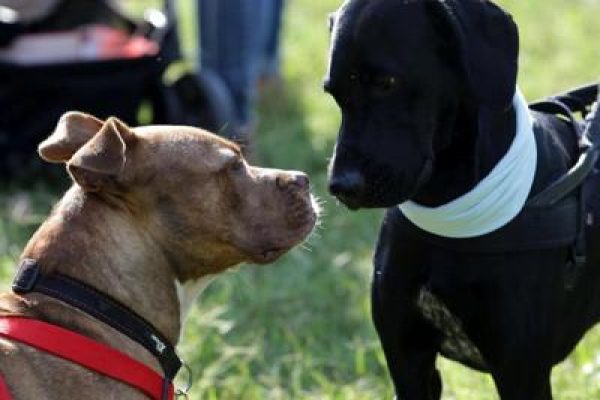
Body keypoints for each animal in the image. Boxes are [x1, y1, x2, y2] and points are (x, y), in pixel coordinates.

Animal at [326, 0, 600, 400]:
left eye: (386, 83)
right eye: (332, 92)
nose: (341, 185)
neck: (447, 213)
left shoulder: (522, 372)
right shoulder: (408, 362)